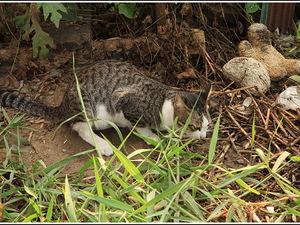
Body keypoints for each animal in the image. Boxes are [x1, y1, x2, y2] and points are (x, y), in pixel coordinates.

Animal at [0, 59, 211, 156]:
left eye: (207, 126)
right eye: (194, 126)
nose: (203, 136)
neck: (162, 104)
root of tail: (64, 104)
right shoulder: (123, 101)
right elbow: (140, 127)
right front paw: (154, 137)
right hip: (88, 106)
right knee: (80, 127)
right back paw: (103, 145)